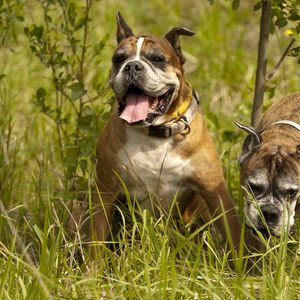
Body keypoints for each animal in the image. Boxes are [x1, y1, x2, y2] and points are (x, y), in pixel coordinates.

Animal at [71, 12, 241, 251]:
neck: (153, 132)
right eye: (119, 59)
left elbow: (235, 236)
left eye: (157, 59)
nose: (132, 66)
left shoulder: (214, 192)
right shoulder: (105, 191)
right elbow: (97, 240)